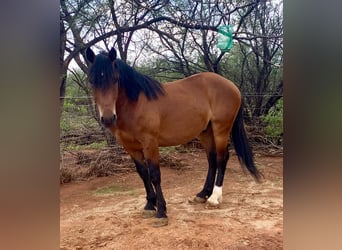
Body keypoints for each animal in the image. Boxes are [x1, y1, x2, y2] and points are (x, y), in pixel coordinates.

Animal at [85, 46, 260, 227]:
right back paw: (202, 194)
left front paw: (161, 212)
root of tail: (232, 86)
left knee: (221, 158)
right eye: (92, 81)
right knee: (212, 159)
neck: (134, 104)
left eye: (115, 79)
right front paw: (149, 205)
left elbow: (155, 175)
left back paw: (214, 198)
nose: (108, 118)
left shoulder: (150, 142)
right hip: (206, 132)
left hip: (221, 129)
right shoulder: (130, 146)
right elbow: (143, 173)